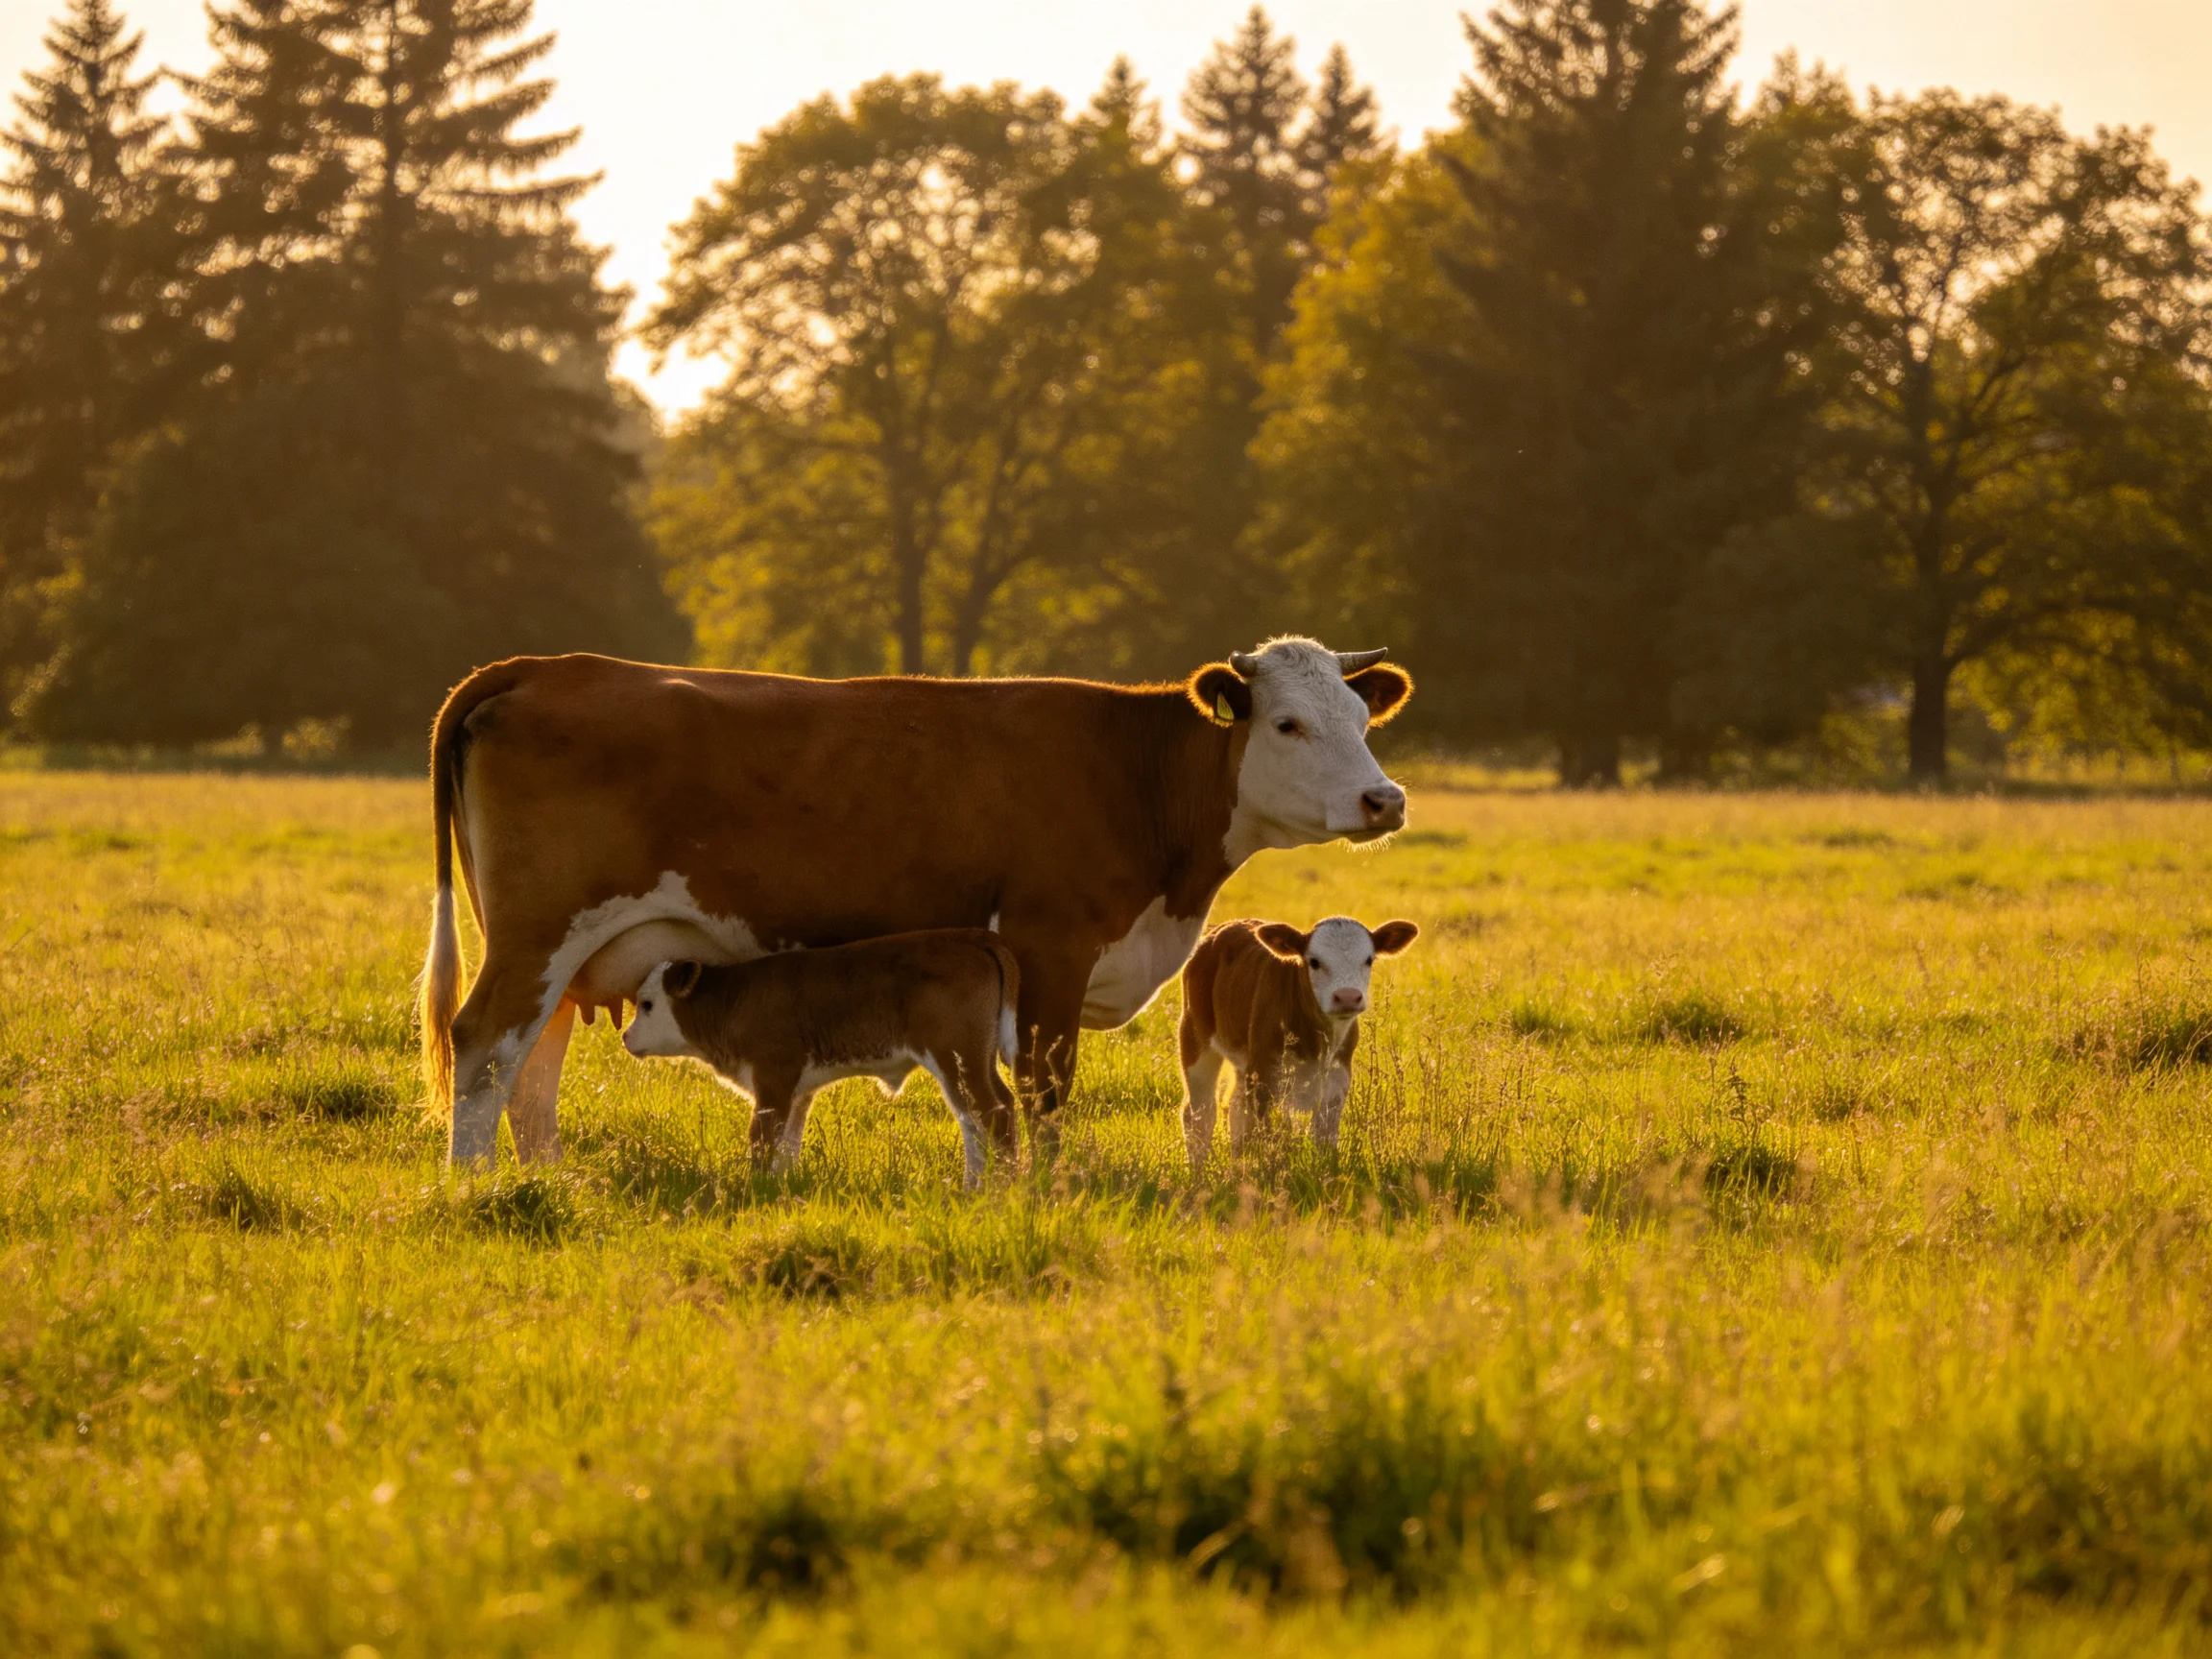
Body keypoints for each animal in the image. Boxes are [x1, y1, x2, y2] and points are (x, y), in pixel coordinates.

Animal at [619, 930, 1021, 1187]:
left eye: (647, 1004)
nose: (624, 1037)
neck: (735, 1001)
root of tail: (975, 937)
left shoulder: (772, 1081)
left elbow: (762, 1139)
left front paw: (753, 1188)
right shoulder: (796, 1091)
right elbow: (788, 1144)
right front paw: (779, 1188)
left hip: (955, 1057)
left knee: (989, 1114)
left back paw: (997, 1190)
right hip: (976, 1059)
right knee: (987, 1113)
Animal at [1177, 916, 1421, 1166]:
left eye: (1369, 960)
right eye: (1314, 962)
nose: (1347, 997)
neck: (1316, 1043)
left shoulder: (1337, 1078)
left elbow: (1323, 1138)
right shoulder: (1264, 1074)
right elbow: (1266, 1134)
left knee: (1236, 1106)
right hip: (1195, 1035)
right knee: (1199, 1112)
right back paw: (1199, 1167)